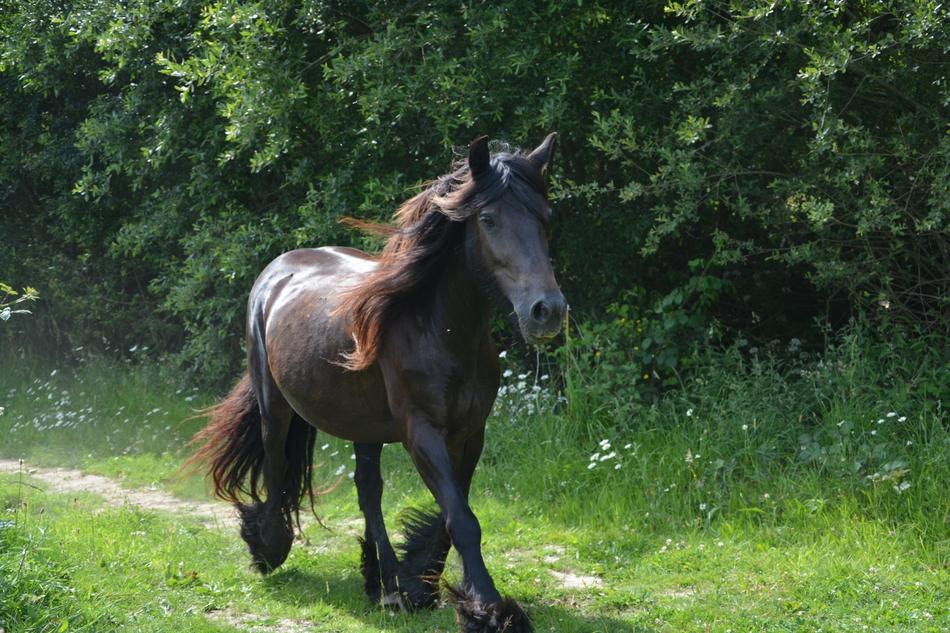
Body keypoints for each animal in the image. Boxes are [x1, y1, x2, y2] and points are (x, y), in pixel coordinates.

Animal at [188, 134, 566, 633]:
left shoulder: (471, 433)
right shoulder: (421, 432)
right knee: (276, 462)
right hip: (275, 406)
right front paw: (489, 610)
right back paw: (271, 545)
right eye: (488, 219)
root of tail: (277, 270)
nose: (547, 311)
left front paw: (423, 584)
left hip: (362, 425)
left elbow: (454, 512)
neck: (438, 330)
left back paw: (382, 581)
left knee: (368, 489)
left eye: (545, 218)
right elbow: (463, 520)